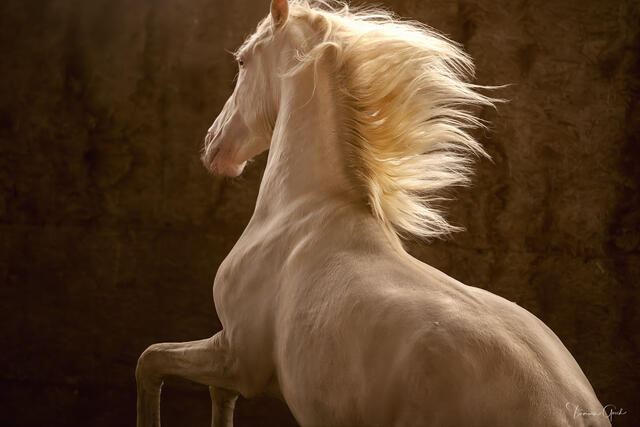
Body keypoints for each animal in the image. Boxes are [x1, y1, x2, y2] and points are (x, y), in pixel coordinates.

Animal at [136, 1, 609, 426]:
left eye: (241, 60)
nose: (212, 145)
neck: (301, 210)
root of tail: (568, 411)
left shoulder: (235, 356)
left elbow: (149, 361)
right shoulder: (232, 362)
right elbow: (211, 394)